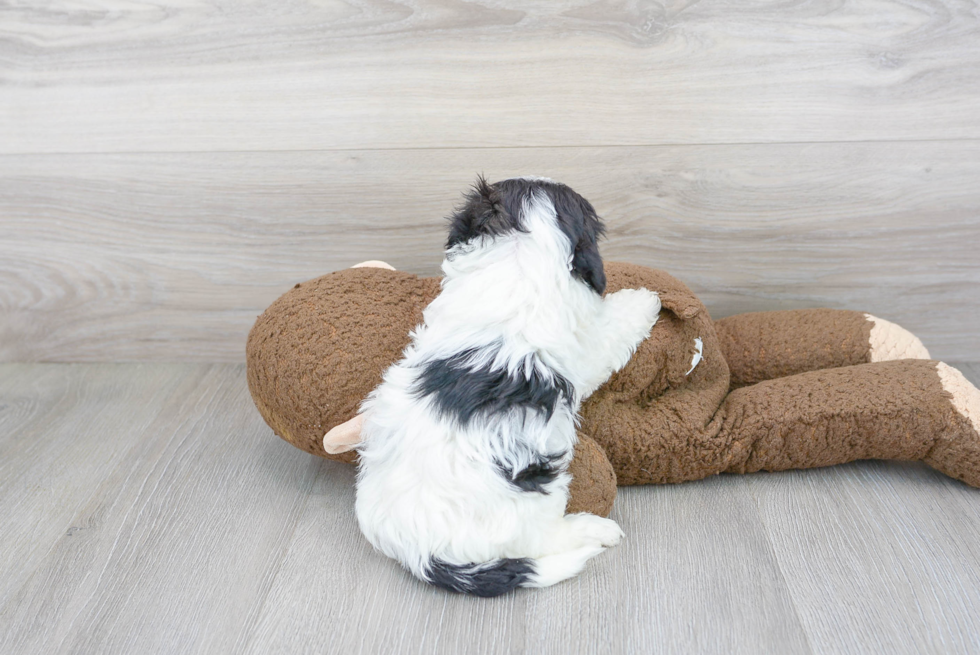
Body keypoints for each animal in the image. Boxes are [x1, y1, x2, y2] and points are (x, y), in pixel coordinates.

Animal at [352, 177, 660, 596]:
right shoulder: (588, 343)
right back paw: (594, 530)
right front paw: (644, 300)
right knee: (543, 539)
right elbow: (613, 327)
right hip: (532, 497)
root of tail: (419, 553)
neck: (517, 258)